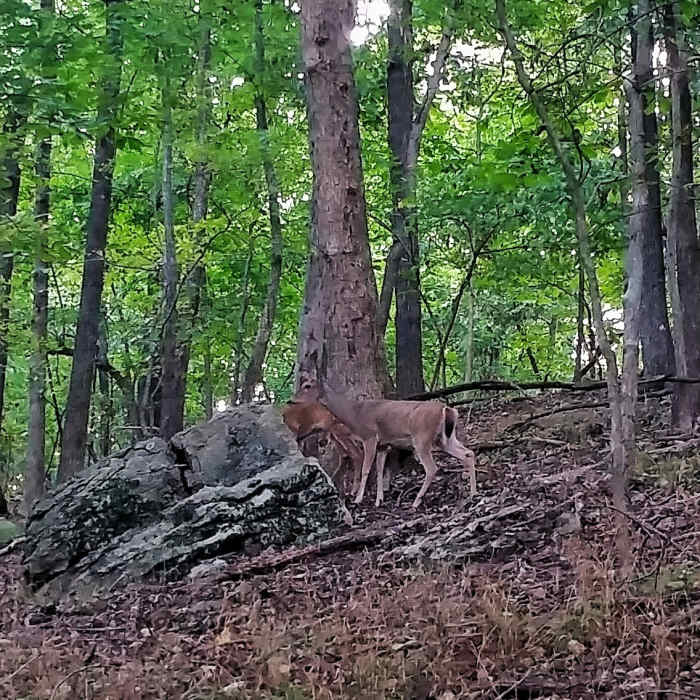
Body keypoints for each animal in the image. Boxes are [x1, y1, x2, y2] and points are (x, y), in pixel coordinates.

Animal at [296, 377, 477, 509]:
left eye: (307, 385)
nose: (292, 400)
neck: (354, 414)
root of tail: (447, 409)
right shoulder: (383, 444)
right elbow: (380, 469)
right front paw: (379, 500)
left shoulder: (369, 436)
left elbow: (366, 469)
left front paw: (358, 499)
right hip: (444, 439)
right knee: (468, 453)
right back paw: (473, 493)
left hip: (422, 438)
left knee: (432, 468)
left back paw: (416, 501)